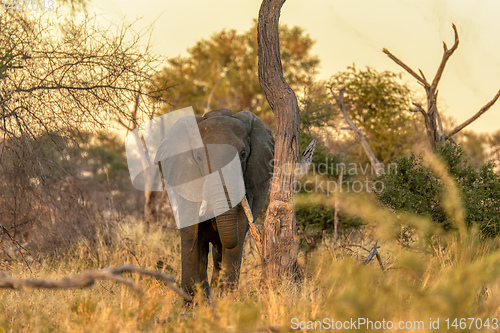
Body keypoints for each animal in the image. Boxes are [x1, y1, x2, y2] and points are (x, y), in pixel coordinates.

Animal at [156, 108, 274, 296]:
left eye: (243, 154)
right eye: (198, 157)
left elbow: (238, 229)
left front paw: (224, 296)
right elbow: (191, 232)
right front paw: (194, 297)